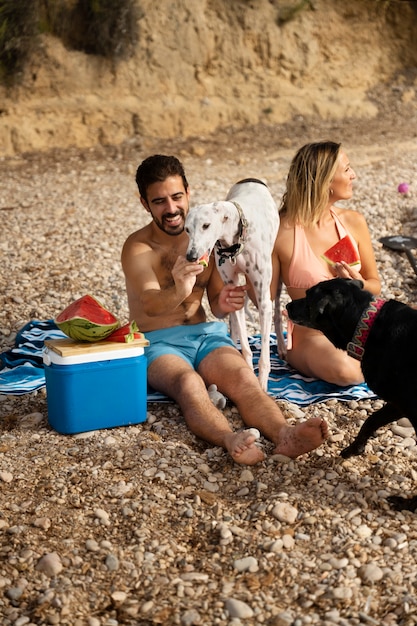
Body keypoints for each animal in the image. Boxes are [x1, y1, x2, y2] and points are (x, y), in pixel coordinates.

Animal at [184, 177, 276, 390]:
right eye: (187, 229)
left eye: (206, 225)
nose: (191, 256)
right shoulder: (234, 293)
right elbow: (246, 348)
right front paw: (249, 375)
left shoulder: (264, 302)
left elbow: (264, 357)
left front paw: (262, 385)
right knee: (234, 324)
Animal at [286, 278, 416, 512]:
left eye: (308, 296)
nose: (287, 306)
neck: (368, 325)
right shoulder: (397, 404)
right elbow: (371, 420)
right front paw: (354, 449)